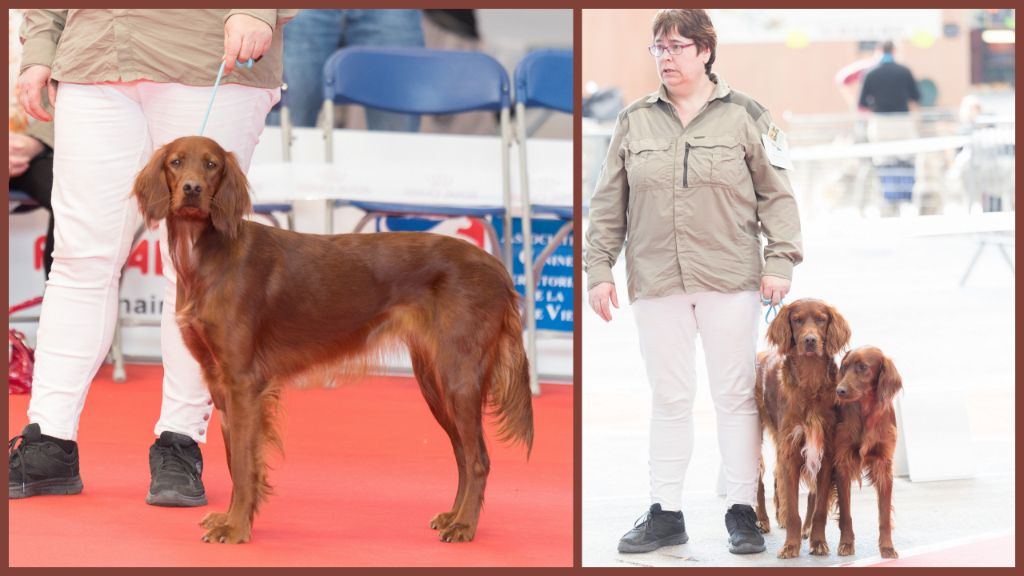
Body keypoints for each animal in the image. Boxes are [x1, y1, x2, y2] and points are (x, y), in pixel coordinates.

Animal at [130, 135, 536, 541]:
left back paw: (465, 525)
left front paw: (236, 527)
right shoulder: (219, 379)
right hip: (434, 381)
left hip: (458, 376)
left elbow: (244, 464)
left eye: (211, 164)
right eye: (176, 162)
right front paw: (232, 519)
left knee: (478, 457)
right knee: (463, 454)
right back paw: (453, 516)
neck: (207, 253)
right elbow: (234, 460)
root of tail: (497, 268)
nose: (192, 189)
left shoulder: (243, 382)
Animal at [753, 297, 847, 553]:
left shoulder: (824, 449)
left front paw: (817, 541)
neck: (810, 382)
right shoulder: (792, 448)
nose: (810, 340)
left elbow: (819, 504)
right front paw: (790, 547)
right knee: (759, 481)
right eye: (797, 320)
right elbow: (793, 504)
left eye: (822, 320)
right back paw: (763, 520)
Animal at [835, 344, 901, 557]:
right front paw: (846, 544)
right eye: (844, 367)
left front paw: (887, 547)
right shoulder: (843, 464)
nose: (839, 391)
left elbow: (884, 516)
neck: (866, 413)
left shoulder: (884, 466)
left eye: (863, 367)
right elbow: (846, 513)